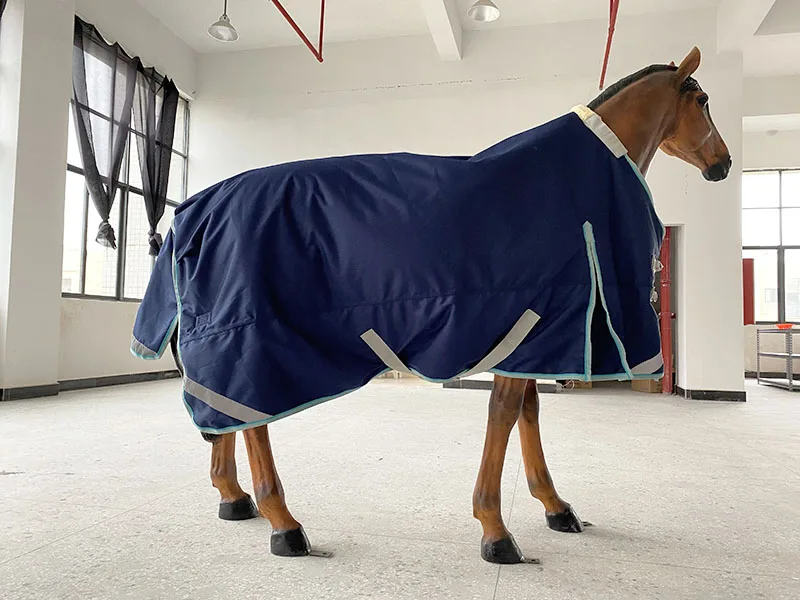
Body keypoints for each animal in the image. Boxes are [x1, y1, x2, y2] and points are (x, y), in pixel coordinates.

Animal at [145, 45, 730, 565]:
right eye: (702, 101)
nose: (722, 165)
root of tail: (196, 206)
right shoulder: (530, 325)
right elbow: (505, 415)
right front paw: (496, 531)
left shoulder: (533, 338)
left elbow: (528, 414)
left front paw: (555, 506)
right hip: (251, 336)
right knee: (253, 420)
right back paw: (283, 524)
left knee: (228, 414)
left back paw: (235, 499)